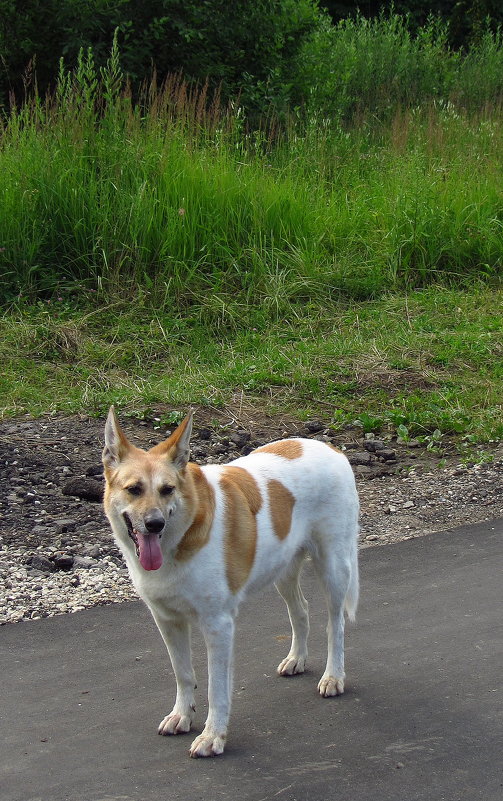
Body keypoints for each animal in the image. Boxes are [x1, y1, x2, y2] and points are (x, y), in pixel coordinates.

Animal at [102, 406, 360, 756]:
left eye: (168, 490)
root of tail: (332, 448)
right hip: (283, 570)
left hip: (333, 568)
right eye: (134, 489)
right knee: (301, 611)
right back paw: (296, 659)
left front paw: (213, 736)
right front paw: (182, 715)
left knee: (336, 625)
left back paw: (334, 676)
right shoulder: (167, 621)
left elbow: (217, 689)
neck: (181, 535)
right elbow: (183, 673)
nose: (154, 524)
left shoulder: (218, 625)